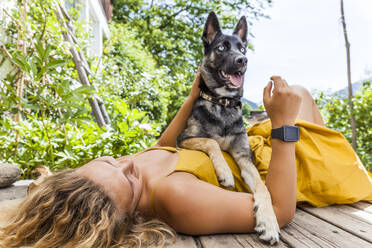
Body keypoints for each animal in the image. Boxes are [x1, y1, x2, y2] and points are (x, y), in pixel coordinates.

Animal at [177, 11, 280, 244]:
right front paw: (225, 172)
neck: (222, 103)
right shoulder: (183, 139)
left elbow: (263, 187)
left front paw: (269, 222)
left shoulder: (243, 157)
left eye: (242, 49)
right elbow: (212, 141)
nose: (243, 60)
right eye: (222, 48)